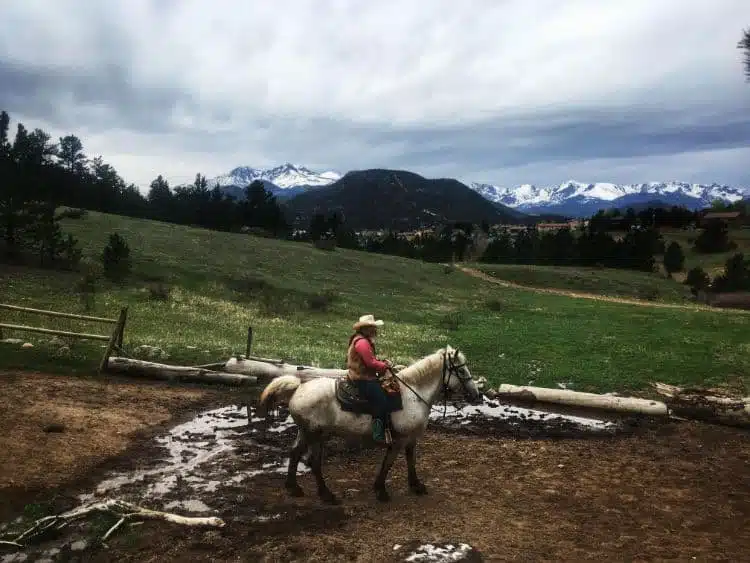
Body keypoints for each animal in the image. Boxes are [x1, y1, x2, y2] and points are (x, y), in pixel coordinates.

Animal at [258, 346, 482, 504]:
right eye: (461, 370)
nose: (476, 394)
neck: (413, 393)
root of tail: (298, 388)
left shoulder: (411, 438)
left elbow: (411, 460)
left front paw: (416, 485)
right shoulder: (399, 439)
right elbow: (389, 463)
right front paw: (381, 490)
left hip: (305, 431)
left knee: (296, 453)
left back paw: (294, 488)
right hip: (316, 434)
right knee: (313, 461)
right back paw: (326, 494)